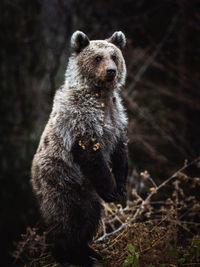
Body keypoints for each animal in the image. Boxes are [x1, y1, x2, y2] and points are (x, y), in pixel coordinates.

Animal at [30, 30, 128, 266]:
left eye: (114, 56)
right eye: (98, 57)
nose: (111, 71)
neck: (100, 96)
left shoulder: (117, 118)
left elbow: (120, 153)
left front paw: (121, 187)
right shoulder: (80, 122)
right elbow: (92, 157)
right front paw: (111, 189)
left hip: (86, 192)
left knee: (89, 216)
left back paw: (89, 251)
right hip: (62, 182)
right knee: (68, 218)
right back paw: (69, 254)